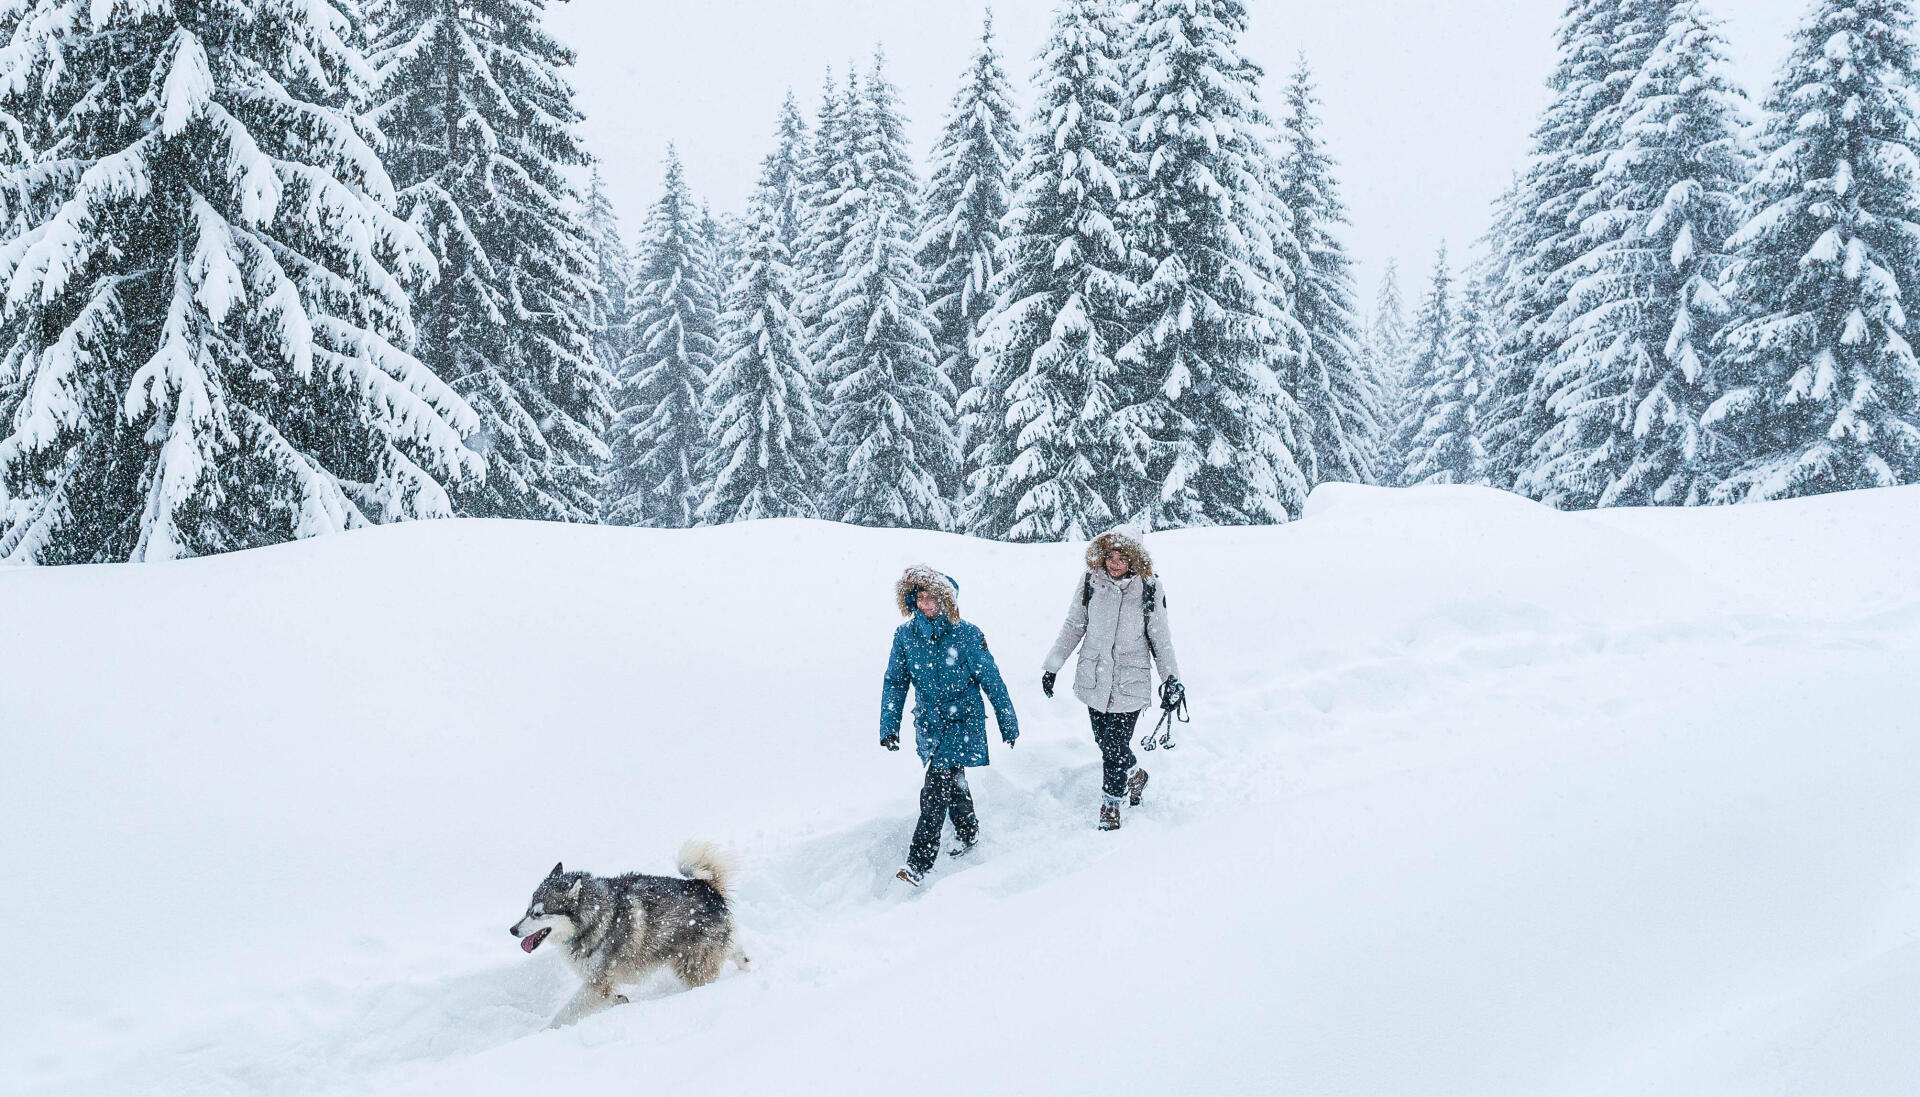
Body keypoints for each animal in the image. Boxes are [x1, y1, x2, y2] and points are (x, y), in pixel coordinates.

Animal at [510, 841, 748, 1029]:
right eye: (527, 909)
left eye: (538, 914)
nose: (512, 930)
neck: (593, 917)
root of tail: (707, 888)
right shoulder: (601, 982)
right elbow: (609, 997)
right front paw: (620, 1000)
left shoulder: (598, 983)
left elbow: (566, 1013)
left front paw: (542, 1033)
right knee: (738, 951)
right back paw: (747, 966)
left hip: (692, 967)